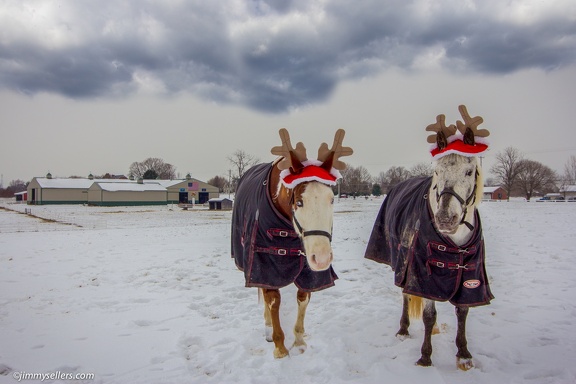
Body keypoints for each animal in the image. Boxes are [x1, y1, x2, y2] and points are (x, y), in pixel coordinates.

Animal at [233, 128, 352, 356]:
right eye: (299, 201)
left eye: (332, 199)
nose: (322, 259)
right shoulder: (264, 263)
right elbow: (273, 301)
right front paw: (280, 348)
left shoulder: (308, 270)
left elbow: (303, 298)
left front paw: (298, 341)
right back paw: (268, 328)